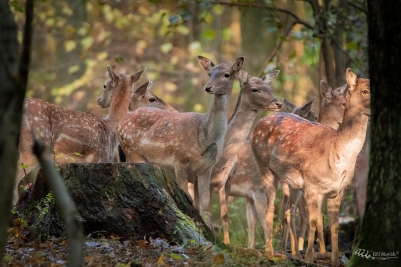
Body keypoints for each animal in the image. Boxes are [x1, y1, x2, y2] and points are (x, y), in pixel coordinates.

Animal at [117, 55, 244, 220]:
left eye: (227, 74)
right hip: (133, 153)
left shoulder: (206, 168)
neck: (204, 135)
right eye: (210, 73)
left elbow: (205, 208)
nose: (208, 87)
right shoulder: (180, 161)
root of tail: (120, 123)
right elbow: (188, 199)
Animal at [206, 68, 282, 245]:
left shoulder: (247, 192)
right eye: (254, 89)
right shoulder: (257, 188)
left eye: (269, 87)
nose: (278, 103)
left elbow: (250, 224)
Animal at [250, 69, 368, 267]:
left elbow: (332, 224)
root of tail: (259, 122)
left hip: (290, 182)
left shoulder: (337, 190)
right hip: (265, 167)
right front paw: (311, 257)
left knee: (288, 210)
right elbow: (314, 219)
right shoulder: (312, 186)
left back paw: (289, 251)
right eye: (343, 103)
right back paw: (273, 253)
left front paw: (330, 257)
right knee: (271, 208)